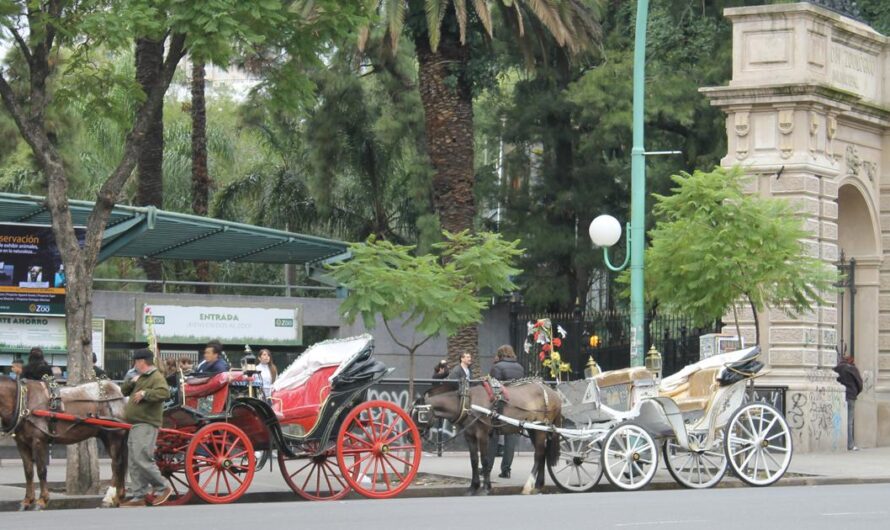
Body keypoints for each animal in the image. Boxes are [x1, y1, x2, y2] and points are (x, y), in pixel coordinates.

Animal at [0, 374, 128, 510]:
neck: (23, 401)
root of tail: (119, 391)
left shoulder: (38, 442)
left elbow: (41, 470)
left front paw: (42, 500)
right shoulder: (22, 444)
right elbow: (28, 472)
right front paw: (27, 501)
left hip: (114, 436)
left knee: (116, 464)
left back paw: (109, 499)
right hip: (106, 435)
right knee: (119, 465)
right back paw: (118, 497)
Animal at [412, 378, 560, 492]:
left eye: (420, 414)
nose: (409, 436)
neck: (468, 403)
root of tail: (553, 392)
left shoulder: (482, 435)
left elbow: (485, 460)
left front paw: (485, 488)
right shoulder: (469, 436)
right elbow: (474, 461)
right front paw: (473, 487)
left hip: (540, 428)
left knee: (539, 454)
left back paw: (529, 485)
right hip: (533, 429)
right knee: (543, 453)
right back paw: (539, 484)